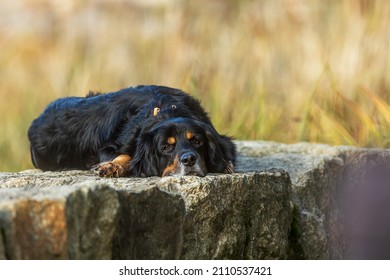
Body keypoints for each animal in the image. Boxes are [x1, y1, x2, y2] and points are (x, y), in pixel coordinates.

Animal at [27, 85, 236, 177]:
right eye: (165, 147)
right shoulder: (109, 148)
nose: (189, 160)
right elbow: (128, 156)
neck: (165, 109)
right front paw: (112, 166)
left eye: (197, 141)